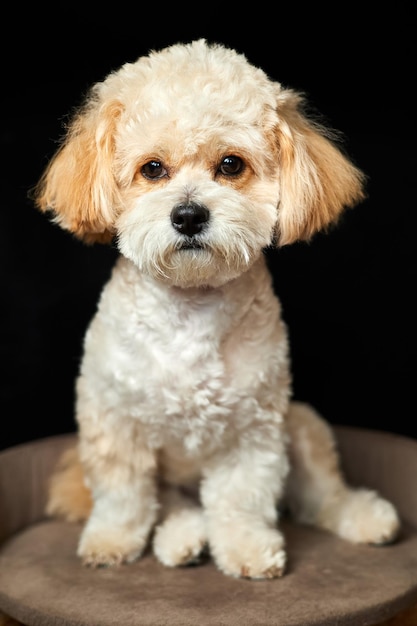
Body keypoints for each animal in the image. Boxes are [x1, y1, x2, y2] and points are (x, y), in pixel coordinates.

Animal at [30, 37, 398, 576]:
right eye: (152, 168)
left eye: (230, 165)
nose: (188, 215)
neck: (192, 306)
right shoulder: (113, 421)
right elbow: (123, 496)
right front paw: (111, 541)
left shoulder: (253, 429)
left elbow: (240, 498)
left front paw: (245, 548)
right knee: (174, 506)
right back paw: (182, 538)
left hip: (301, 423)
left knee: (321, 495)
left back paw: (364, 517)